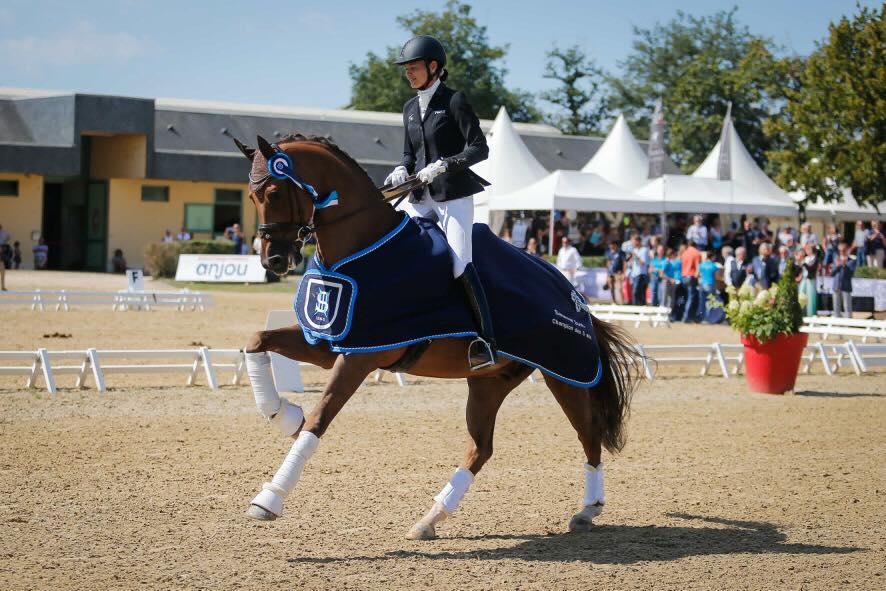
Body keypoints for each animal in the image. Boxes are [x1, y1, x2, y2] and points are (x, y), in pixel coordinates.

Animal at [232, 134, 640, 540]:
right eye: (251, 196)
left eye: (274, 192)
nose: (272, 261)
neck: (361, 246)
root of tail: (574, 296)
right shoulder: (332, 343)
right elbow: (256, 340)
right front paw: (282, 414)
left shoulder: (360, 355)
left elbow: (319, 418)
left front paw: (269, 497)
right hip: (489, 382)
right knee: (480, 449)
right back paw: (430, 518)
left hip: (565, 373)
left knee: (589, 433)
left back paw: (588, 509)